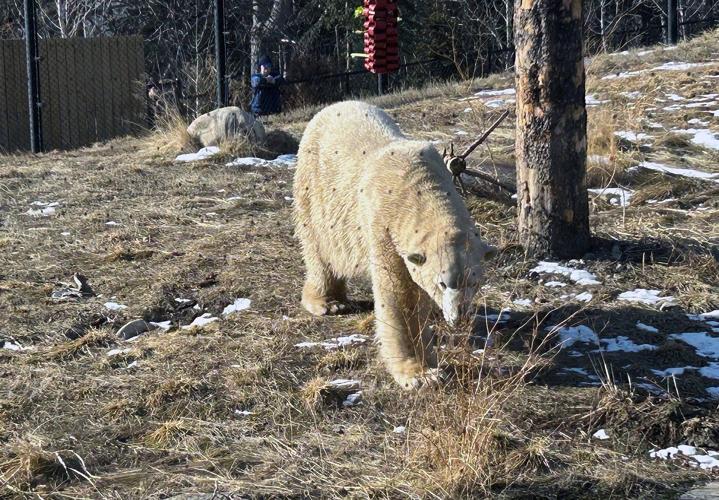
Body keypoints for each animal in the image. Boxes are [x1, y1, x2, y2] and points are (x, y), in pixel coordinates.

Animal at [292, 101, 496, 389]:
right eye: (442, 283)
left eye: (474, 281)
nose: (459, 317)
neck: (418, 185)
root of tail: (331, 107)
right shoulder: (384, 228)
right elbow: (399, 297)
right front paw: (422, 374)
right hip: (316, 192)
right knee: (320, 252)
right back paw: (328, 302)